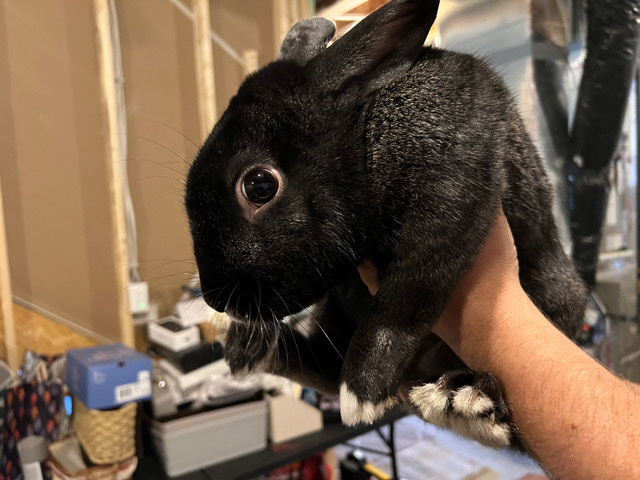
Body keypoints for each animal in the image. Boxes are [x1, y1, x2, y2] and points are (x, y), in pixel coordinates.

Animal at [184, 0, 587, 450]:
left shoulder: (449, 198)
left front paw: (361, 393)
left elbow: (404, 299)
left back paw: (464, 400)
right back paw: (246, 346)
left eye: (259, 185)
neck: (366, 141)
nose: (217, 300)